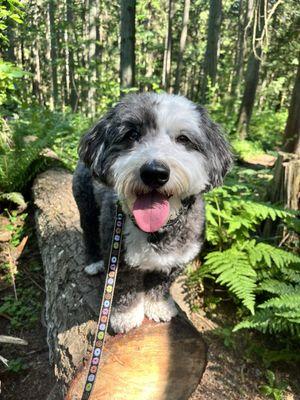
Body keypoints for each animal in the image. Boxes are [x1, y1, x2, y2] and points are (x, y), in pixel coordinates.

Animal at [72, 92, 232, 332]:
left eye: (183, 139)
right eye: (131, 134)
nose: (154, 172)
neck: (158, 231)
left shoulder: (177, 259)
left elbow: (161, 285)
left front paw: (159, 307)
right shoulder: (120, 257)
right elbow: (126, 289)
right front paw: (125, 317)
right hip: (86, 204)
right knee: (89, 232)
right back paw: (93, 262)